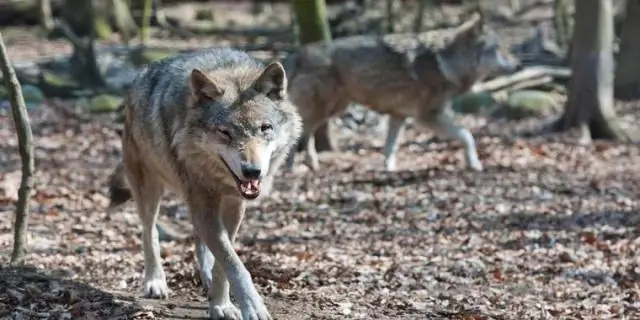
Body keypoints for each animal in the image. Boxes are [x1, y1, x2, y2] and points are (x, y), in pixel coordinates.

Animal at [105, 48, 302, 320]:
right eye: (225, 132)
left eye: (265, 128)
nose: (252, 171)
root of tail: (140, 76)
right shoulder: (204, 203)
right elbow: (235, 265)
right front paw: (252, 307)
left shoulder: (233, 205)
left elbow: (224, 261)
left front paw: (221, 304)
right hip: (149, 189)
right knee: (149, 231)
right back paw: (155, 281)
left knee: (199, 241)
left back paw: (205, 277)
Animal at [284, 13, 520, 172]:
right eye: (498, 49)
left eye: (504, 47)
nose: (518, 64)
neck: (447, 62)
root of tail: (299, 52)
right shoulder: (427, 117)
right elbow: (467, 135)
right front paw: (474, 163)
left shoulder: (399, 116)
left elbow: (391, 147)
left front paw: (388, 169)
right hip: (326, 108)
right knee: (300, 131)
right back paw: (291, 167)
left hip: (334, 108)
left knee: (306, 132)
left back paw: (311, 163)